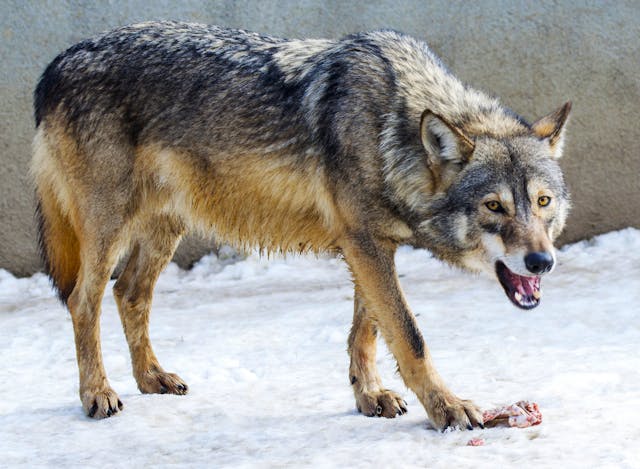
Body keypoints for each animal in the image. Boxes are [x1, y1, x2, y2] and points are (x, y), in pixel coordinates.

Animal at [32, 21, 571, 429]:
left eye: (542, 202)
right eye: (494, 207)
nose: (542, 262)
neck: (389, 129)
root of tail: (54, 65)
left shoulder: (369, 245)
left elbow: (367, 331)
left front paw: (369, 397)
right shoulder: (364, 244)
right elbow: (410, 336)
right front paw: (448, 409)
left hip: (165, 228)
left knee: (129, 293)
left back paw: (152, 379)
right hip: (108, 230)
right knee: (84, 300)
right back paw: (97, 393)